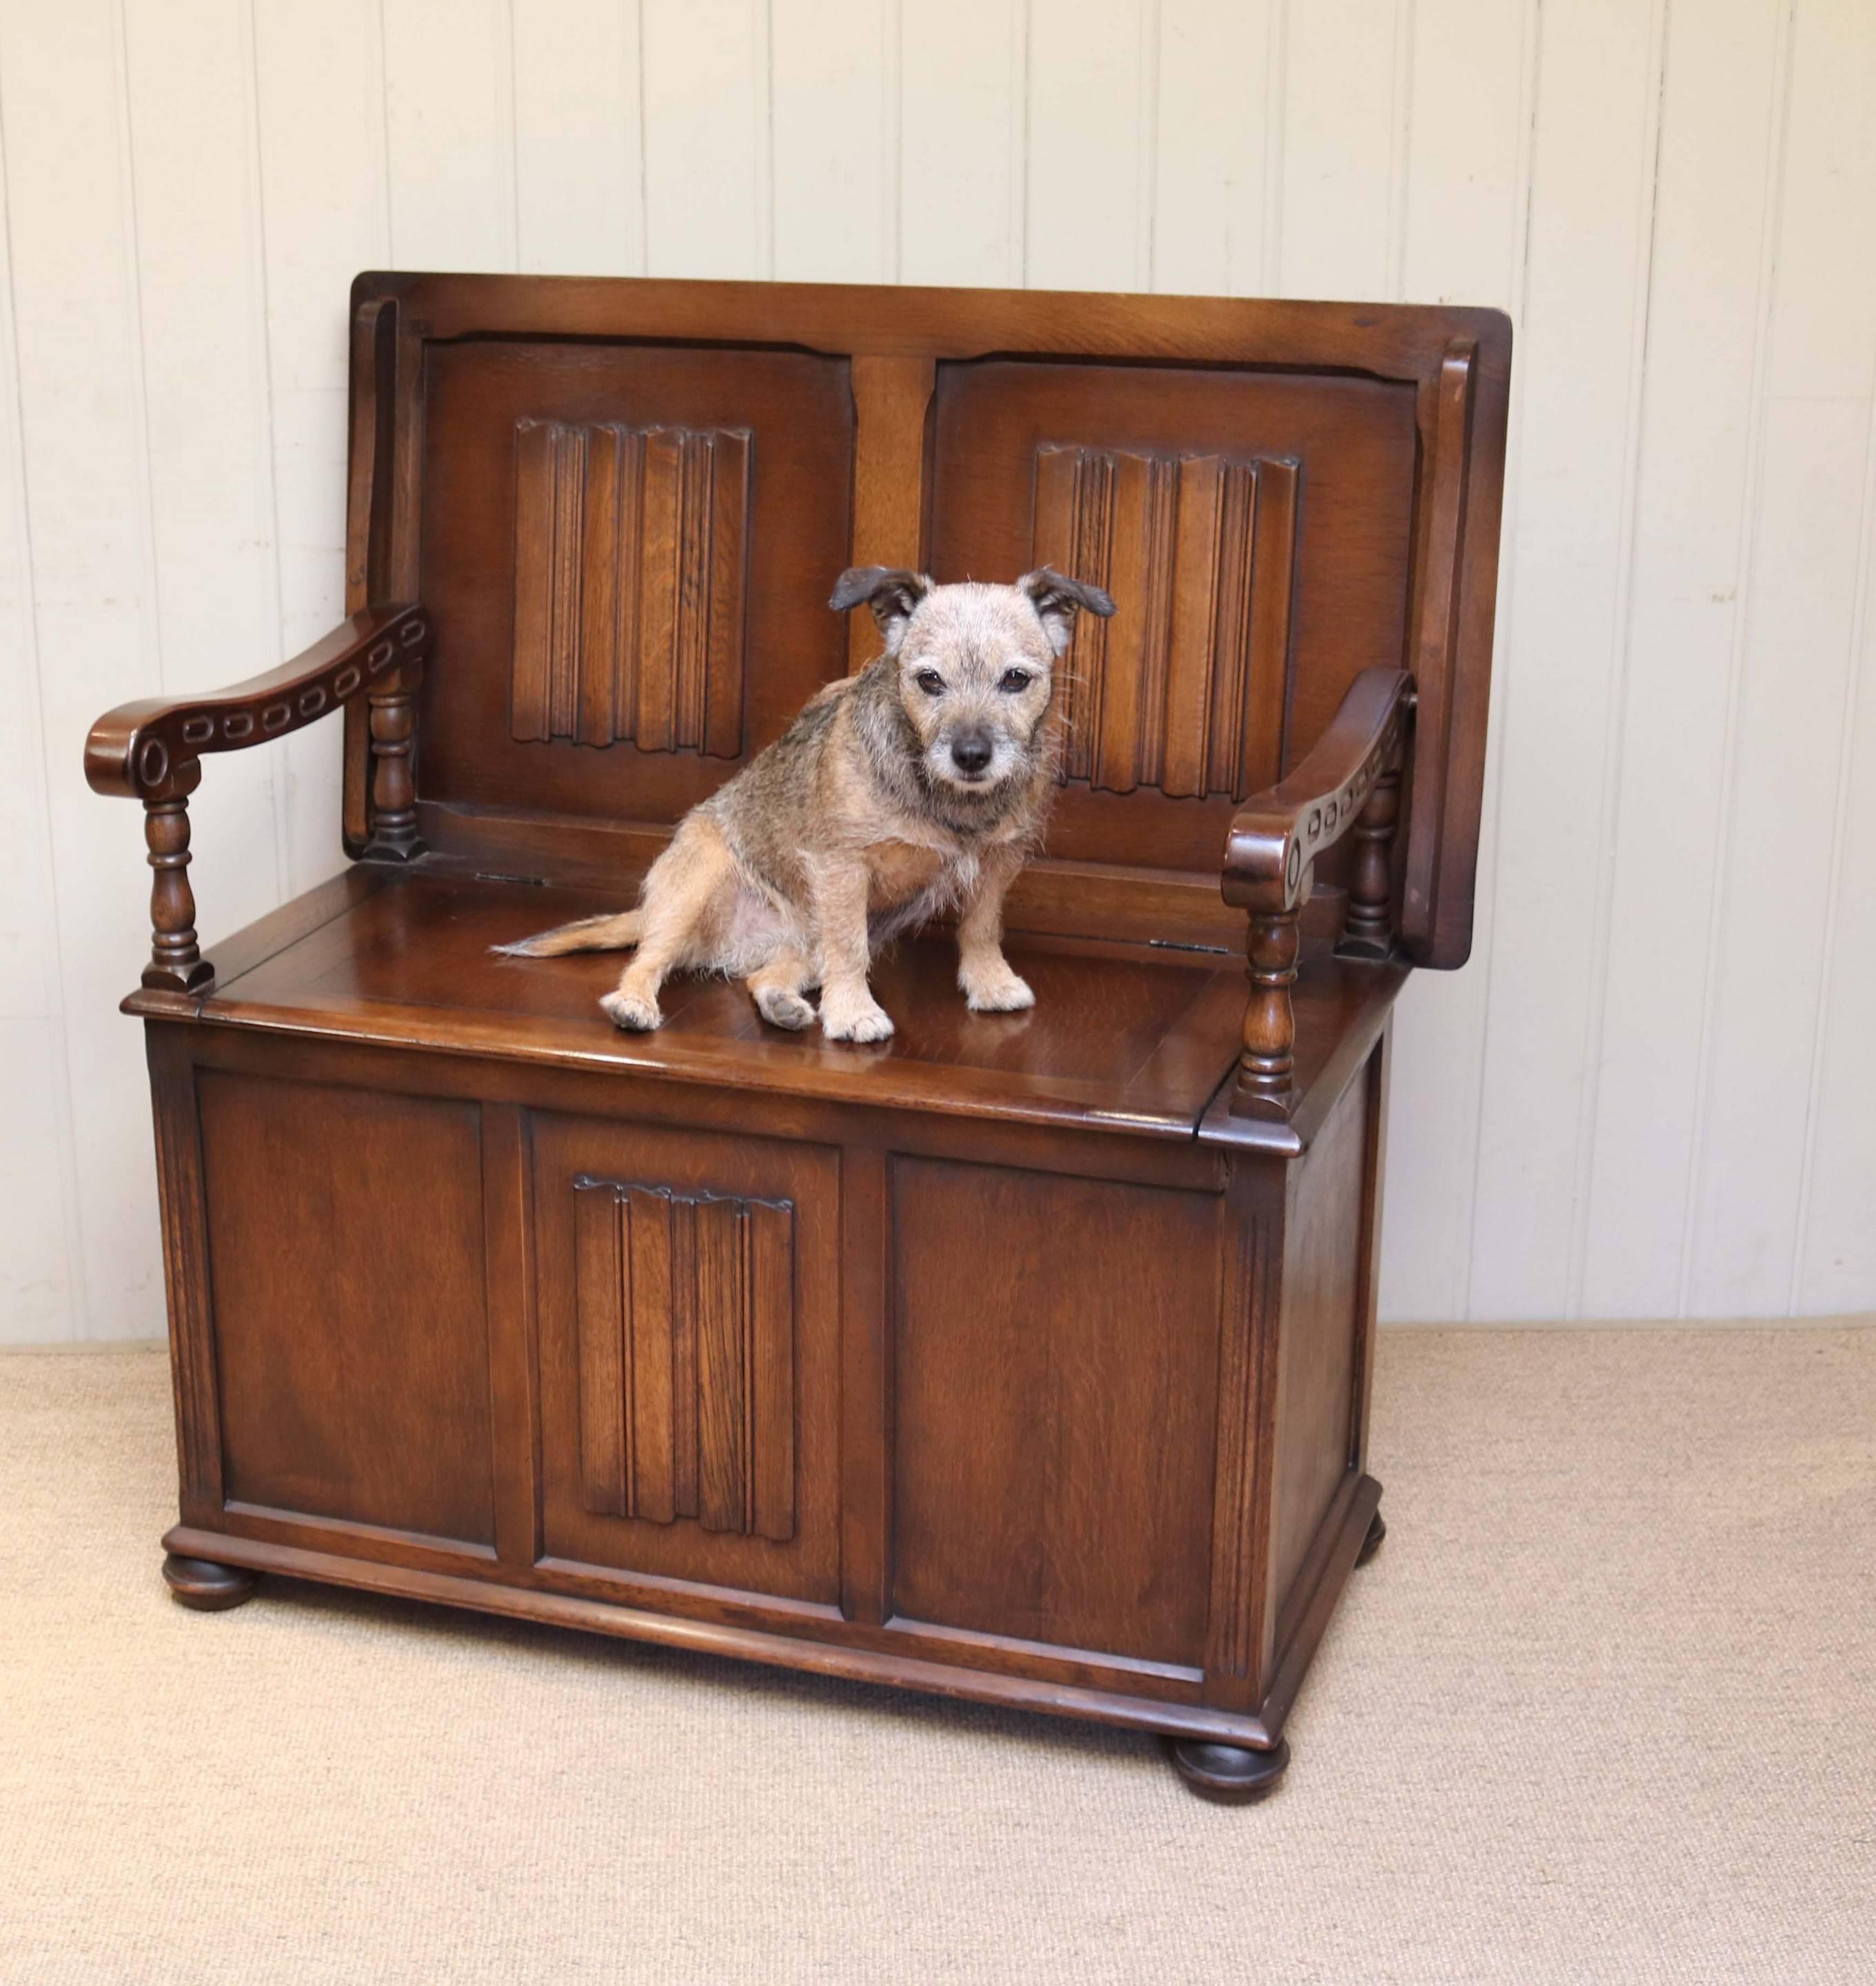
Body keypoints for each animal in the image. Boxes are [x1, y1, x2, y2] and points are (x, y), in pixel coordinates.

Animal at [495, 563, 1112, 1041]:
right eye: (929, 680)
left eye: (1016, 679)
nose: (971, 755)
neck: (943, 793)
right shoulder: (842, 869)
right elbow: (849, 949)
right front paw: (854, 1014)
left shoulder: (998, 861)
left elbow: (981, 927)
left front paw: (990, 983)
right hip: (696, 879)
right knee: (648, 957)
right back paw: (635, 1003)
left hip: (802, 943)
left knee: (759, 977)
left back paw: (781, 1004)